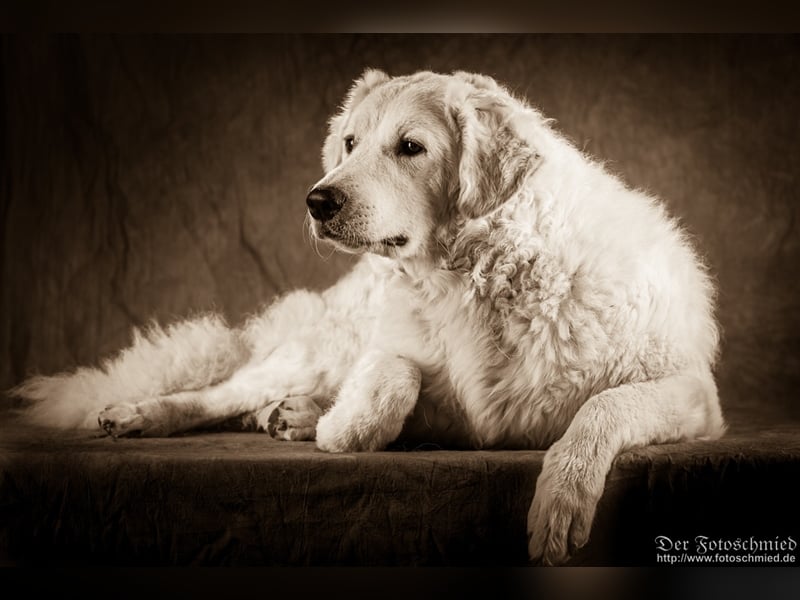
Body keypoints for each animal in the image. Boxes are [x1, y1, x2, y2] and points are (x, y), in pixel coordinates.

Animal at [10, 70, 724, 568]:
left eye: (410, 147)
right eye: (350, 143)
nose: (317, 200)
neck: (476, 274)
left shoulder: (693, 392)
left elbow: (600, 408)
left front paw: (561, 499)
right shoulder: (398, 355)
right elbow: (388, 386)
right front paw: (340, 426)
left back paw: (289, 415)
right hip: (317, 347)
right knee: (220, 393)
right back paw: (150, 414)